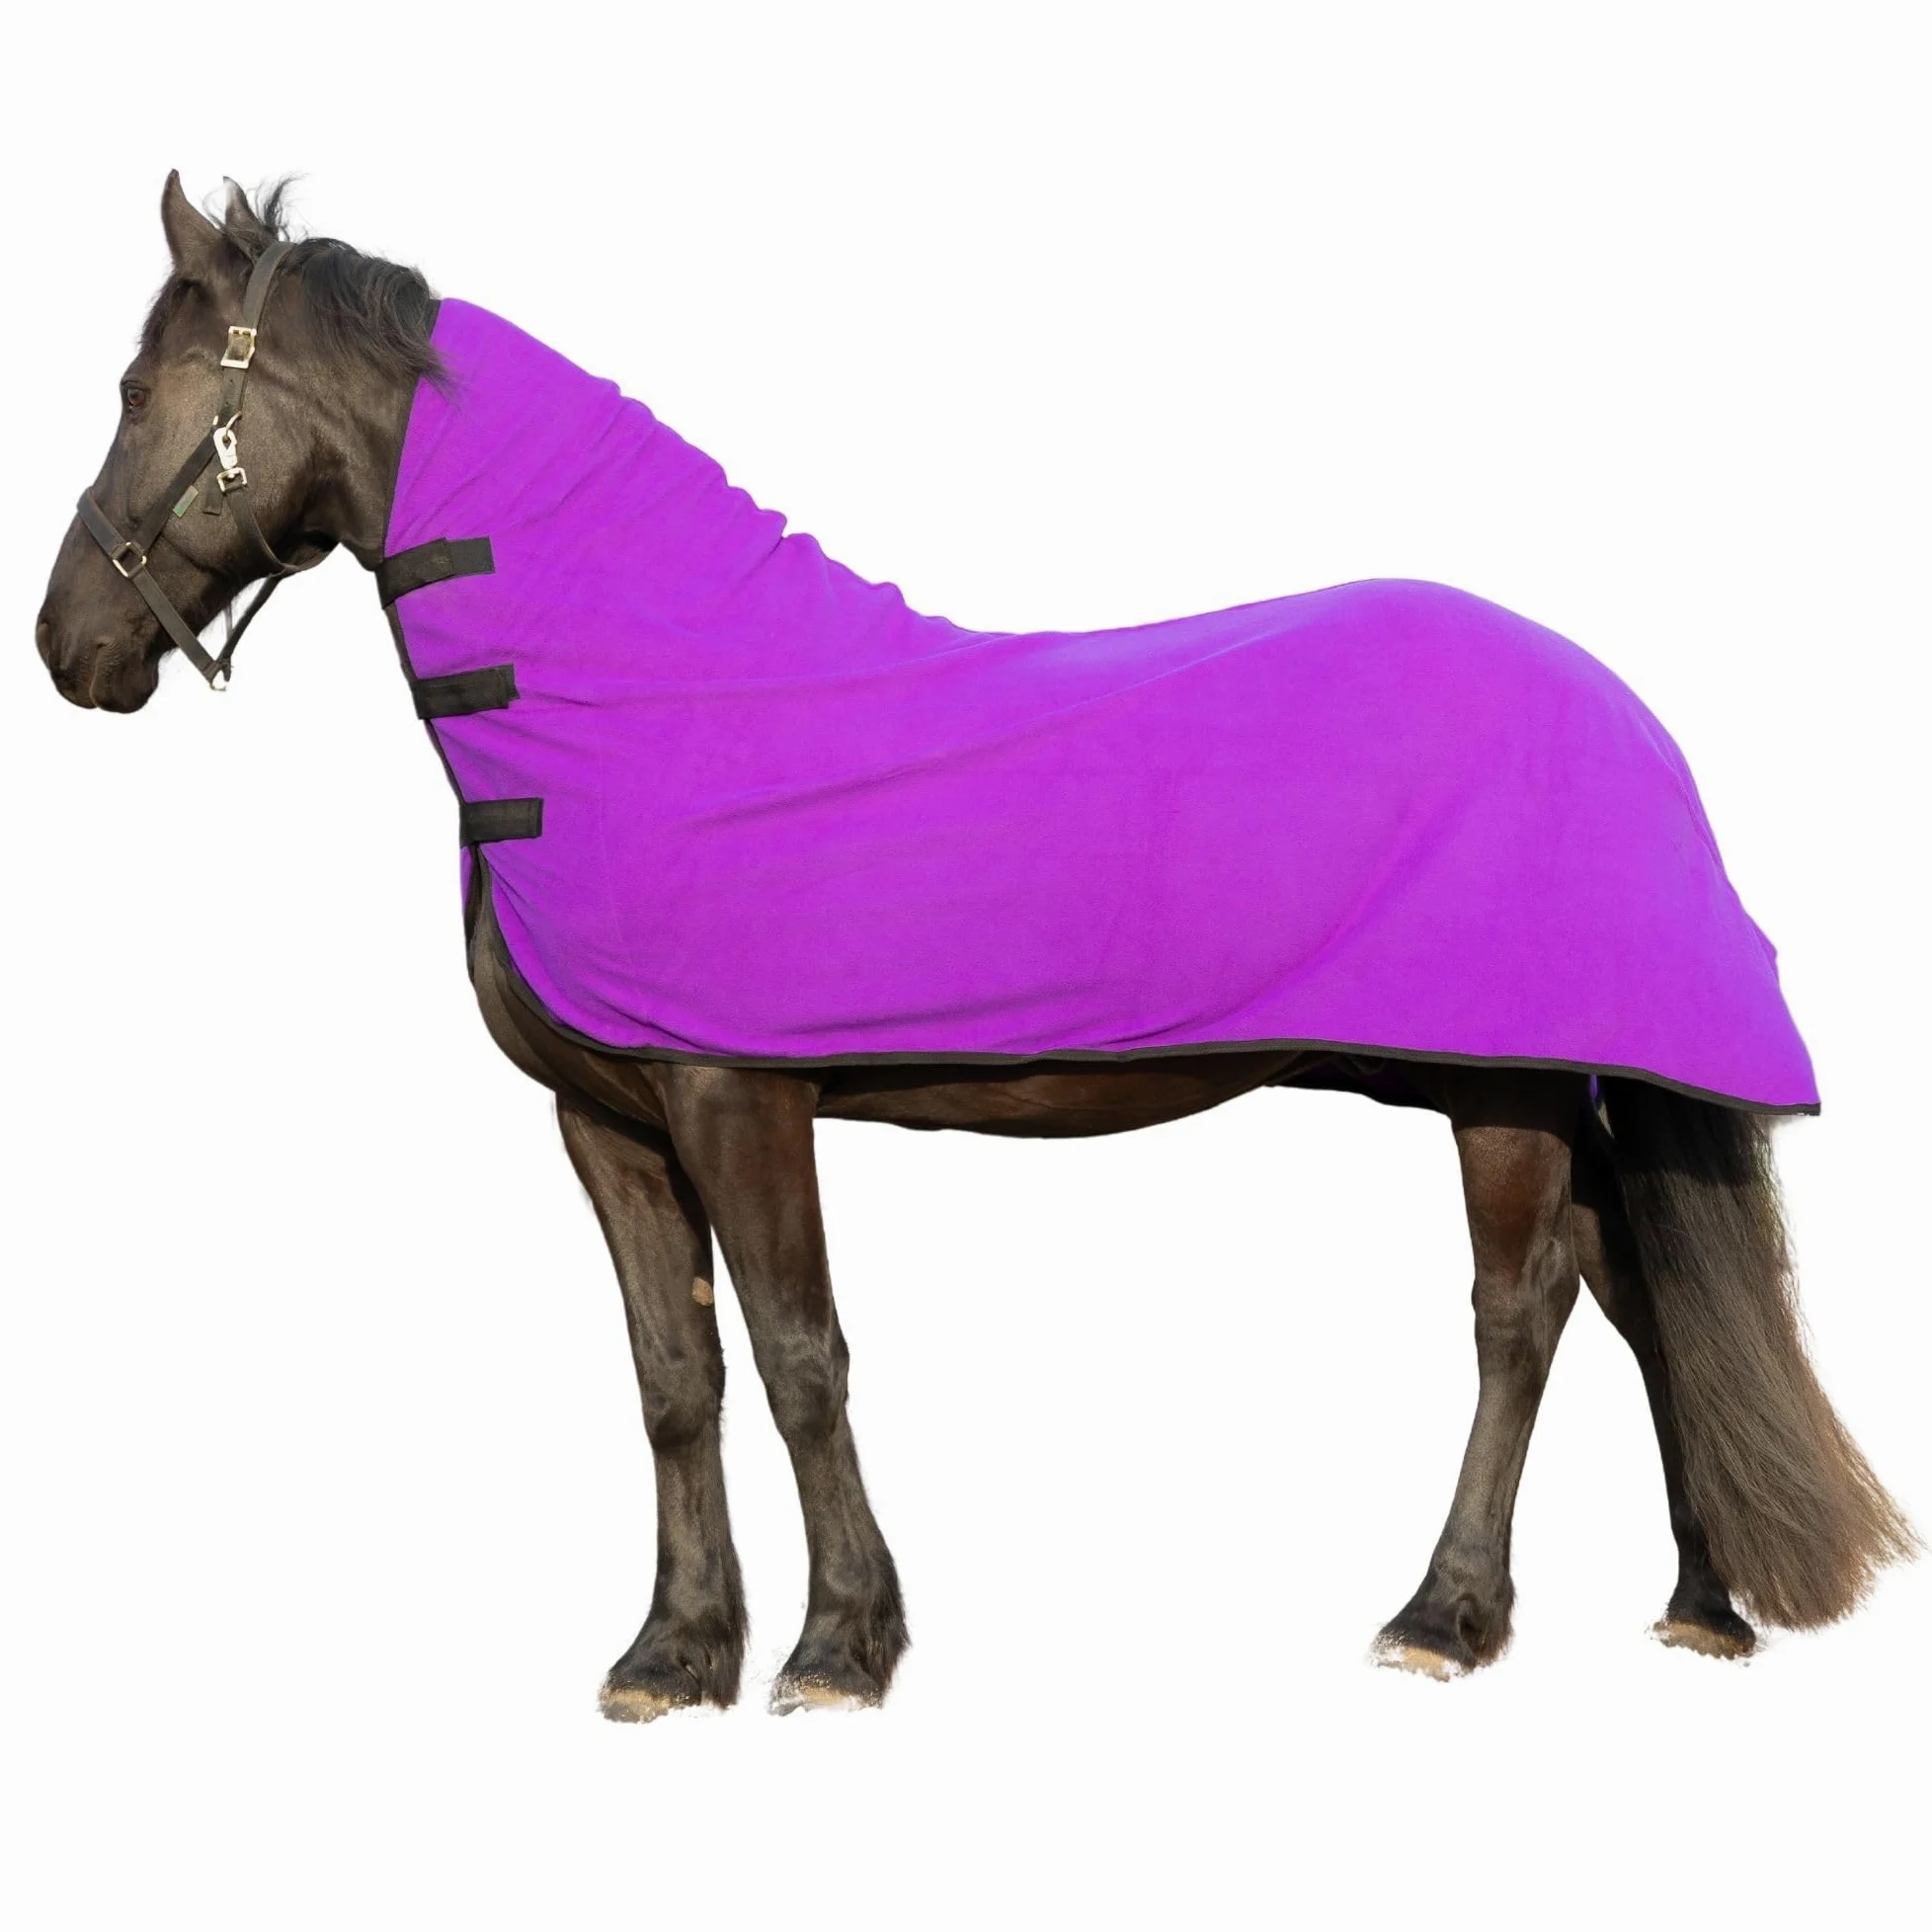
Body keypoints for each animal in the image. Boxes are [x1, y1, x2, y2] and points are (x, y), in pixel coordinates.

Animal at [35, 175, 1912, 1718]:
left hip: (1499, 1090)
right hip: (1510, 1079)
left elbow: (800, 1359)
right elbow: (674, 1378)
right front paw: (671, 1655)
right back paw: (1702, 1605)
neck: (641, 690)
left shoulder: (737, 1094)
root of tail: (1626, 712)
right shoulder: (608, 1118)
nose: (69, 645)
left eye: (136, 395)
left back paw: (1444, 1617)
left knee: (1522, 1315)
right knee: (1641, 1295)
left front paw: (837, 1648)